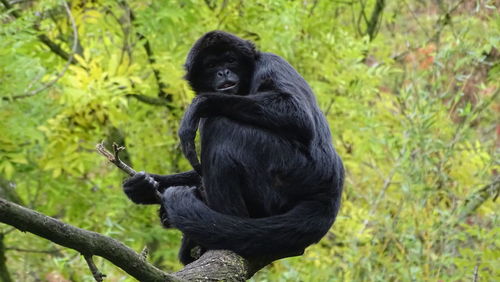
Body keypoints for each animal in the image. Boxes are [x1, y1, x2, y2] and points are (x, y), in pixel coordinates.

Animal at [123, 30, 346, 264]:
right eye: (212, 65)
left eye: (230, 60)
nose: (223, 72)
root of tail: (330, 189)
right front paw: (144, 185)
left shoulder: (272, 64)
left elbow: (298, 114)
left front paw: (199, 104)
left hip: (289, 169)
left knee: (219, 125)